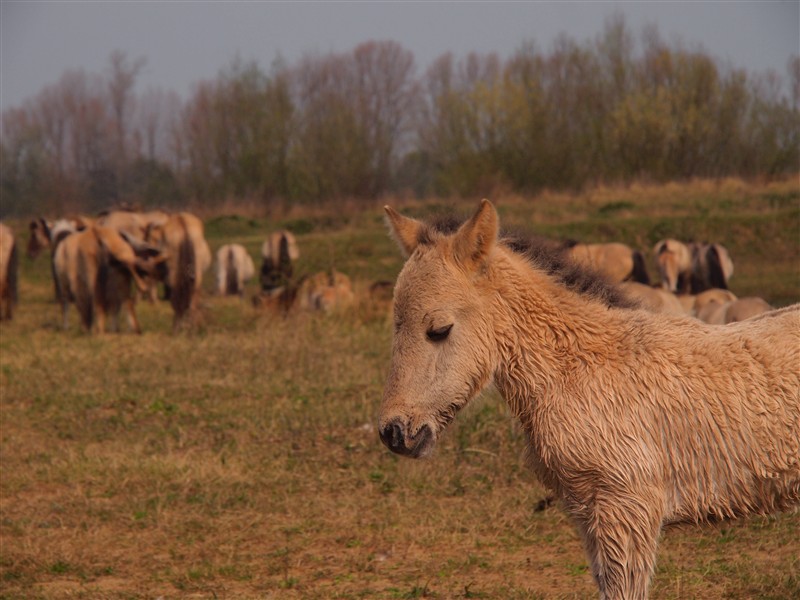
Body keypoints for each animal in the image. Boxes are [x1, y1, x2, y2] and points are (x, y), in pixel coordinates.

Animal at [380, 200, 800, 600]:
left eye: (439, 330)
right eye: (395, 325)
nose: (394, 433)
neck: (583, 367)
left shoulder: (626, 507)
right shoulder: (589, 512)